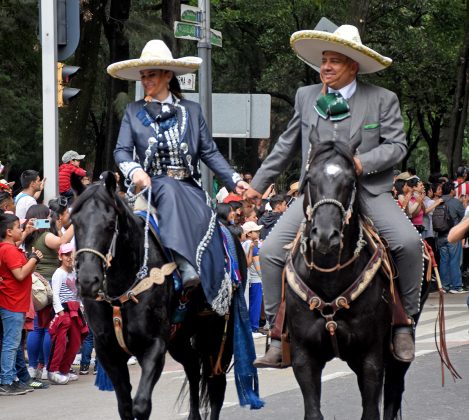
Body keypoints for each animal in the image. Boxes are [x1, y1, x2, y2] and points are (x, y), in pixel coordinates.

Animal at [71, 171, 245, 420]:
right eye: (75, 223)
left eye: (110, 224)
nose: (87, 280)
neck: (122, 290)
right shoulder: (108, 351)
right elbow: (125, 406)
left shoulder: (154, 345)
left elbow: (141, 405)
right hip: (180, 336)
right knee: (193, 368)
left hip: (216, 334)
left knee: (215, 385)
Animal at [286, 142, 428, 420]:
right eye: (310, 180)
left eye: (350, 181)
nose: (325, 236)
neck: (329, 278)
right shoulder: (304, 357)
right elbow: (313, 411)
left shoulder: (371, 358)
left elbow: (372, 410)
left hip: (396, 352)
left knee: (393, 393)